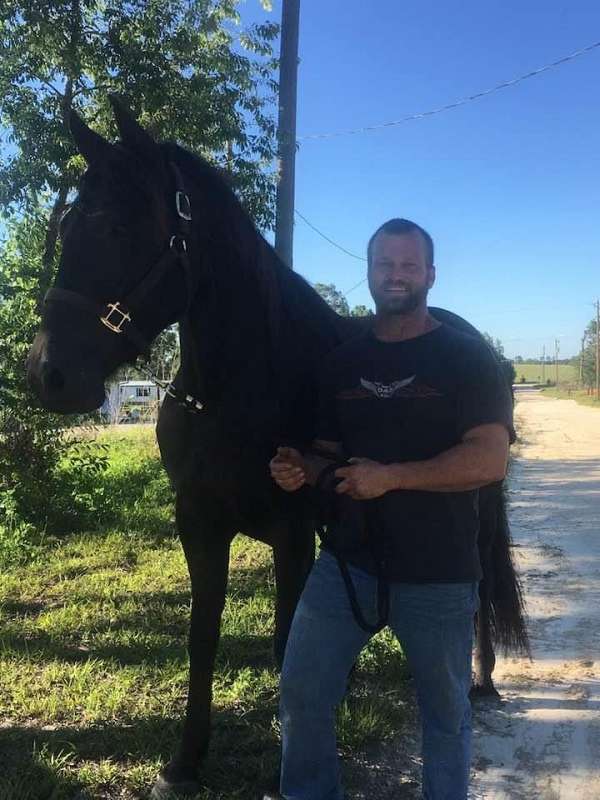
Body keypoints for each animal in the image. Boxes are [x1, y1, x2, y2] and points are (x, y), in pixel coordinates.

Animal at [25, 100, 528, 800]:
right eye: (69, 222)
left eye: (122, 225)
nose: (48, 375)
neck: (240, 388)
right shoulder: (200, 524)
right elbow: (205, 637)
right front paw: (186, 762)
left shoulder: (292, 534)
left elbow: (285, 645)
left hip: (475, 507)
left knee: (476, 590)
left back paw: (481, 681)